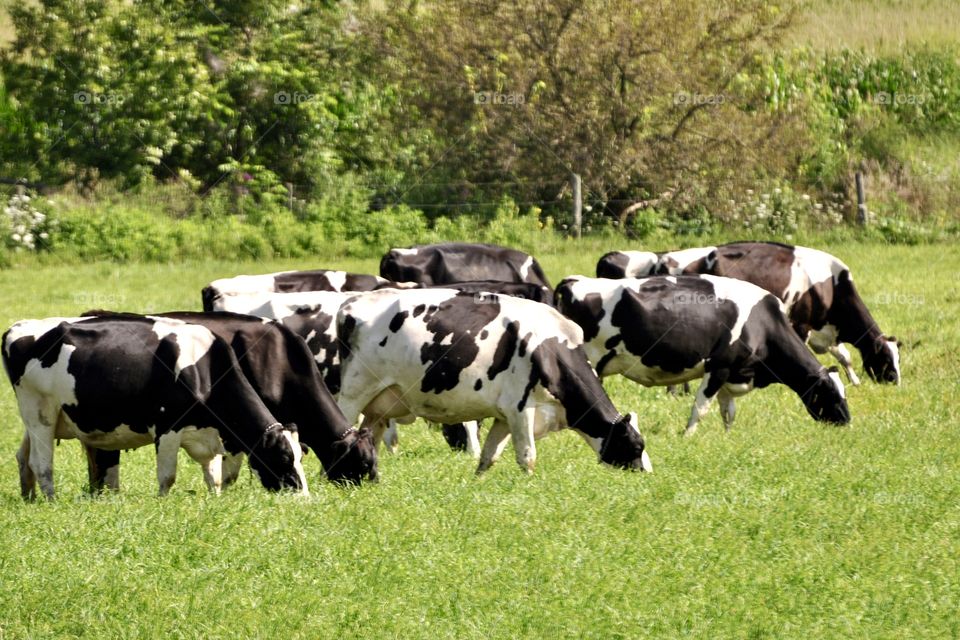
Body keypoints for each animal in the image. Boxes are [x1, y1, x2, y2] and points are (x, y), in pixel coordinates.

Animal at [3, 315, 308, 500]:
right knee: (42, 464)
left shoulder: (206, 434)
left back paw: (29, 498)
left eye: (300, 457)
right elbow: (167, 477)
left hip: (45, 419)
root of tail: (17, 328)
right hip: (39, 412)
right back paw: (50, 500)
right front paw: (163, 503)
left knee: (23, 458)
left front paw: (215, 500)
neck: (206, 368)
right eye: (284, 458)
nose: (304, 498)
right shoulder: (168, 427)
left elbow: (214, 479)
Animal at [335, 288, 653, 474]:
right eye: (636, 445)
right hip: (353, 393)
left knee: (369, 437)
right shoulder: (521, 408)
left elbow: (489, 457)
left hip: (380, 404)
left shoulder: (504, 415)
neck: (551, 349)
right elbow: (527, 456)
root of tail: (352, 303)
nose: (647, 474)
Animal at [555, 275, 852, 436]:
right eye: (831, 393)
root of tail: (574, 281)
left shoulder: (733, 373)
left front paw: (728, 436)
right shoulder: (719, 367)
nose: (847, 422)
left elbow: (728, 411)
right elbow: (701, 407)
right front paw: (687, 435)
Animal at [595, 242, 901, 386]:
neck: (831, 285)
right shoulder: (801, 323)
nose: (895, 381)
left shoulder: (823, 330)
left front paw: (855, 380)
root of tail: (662, 256)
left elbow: (845, 356)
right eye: (886, 359)